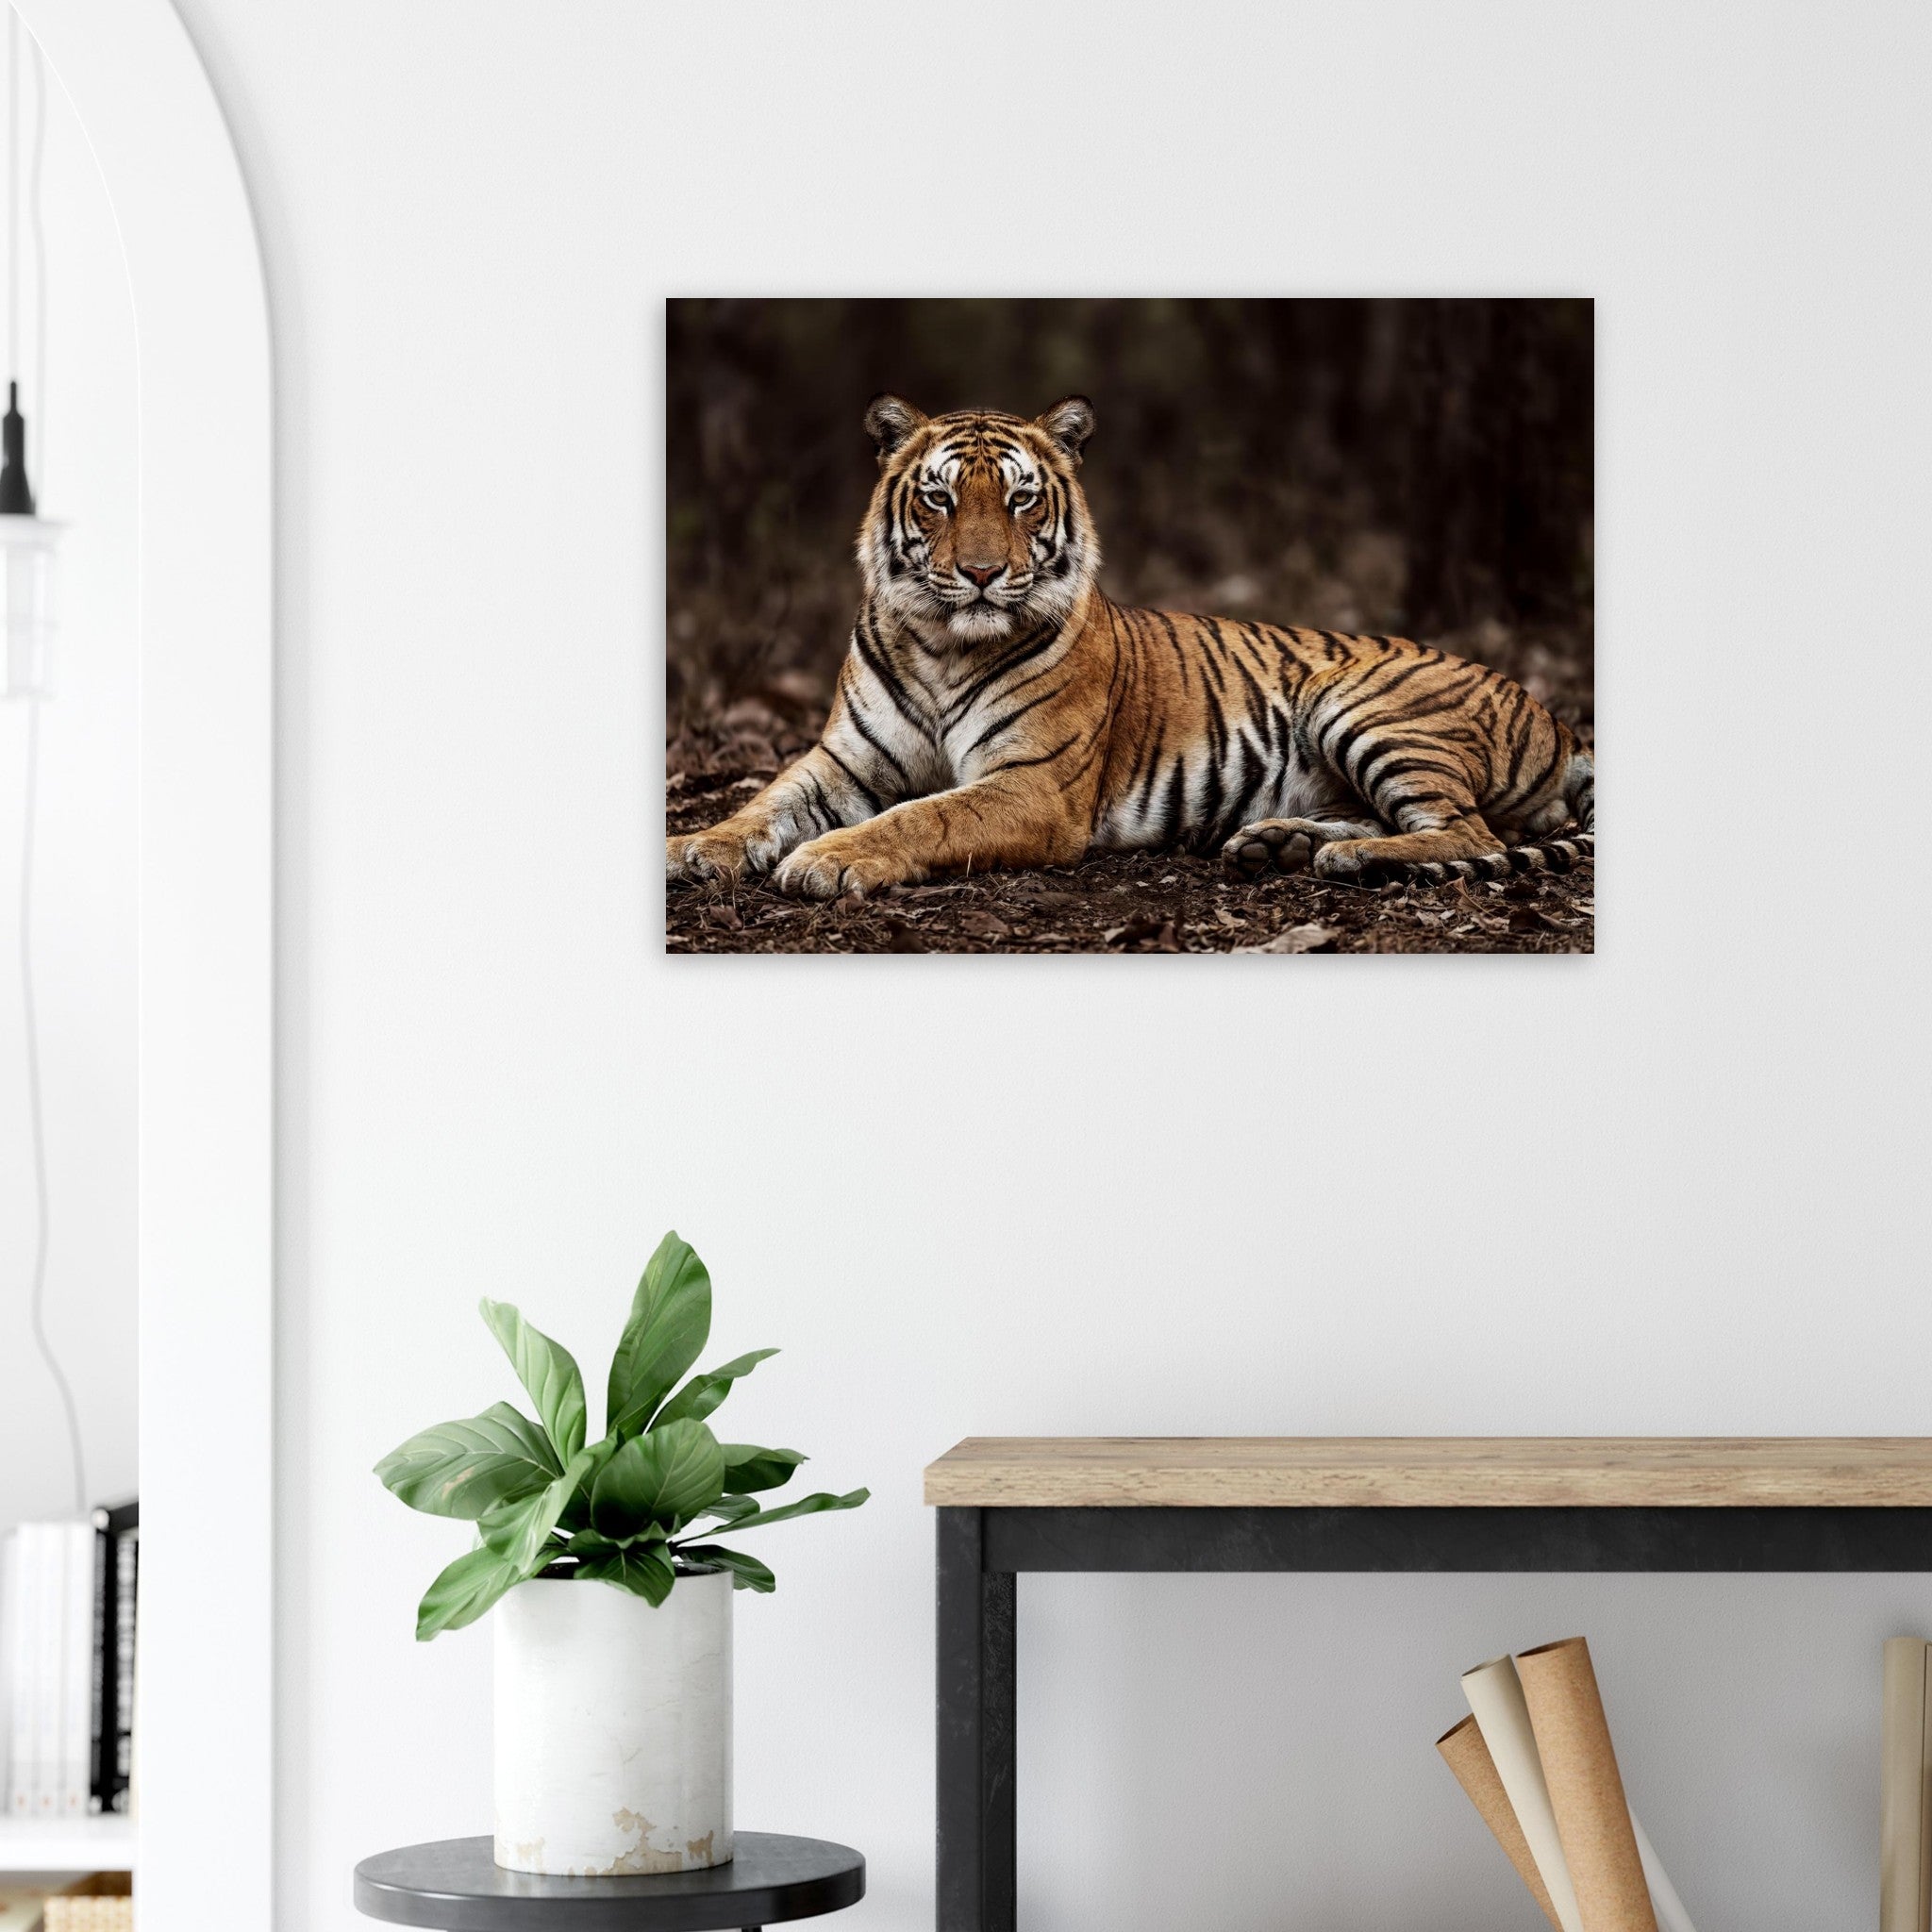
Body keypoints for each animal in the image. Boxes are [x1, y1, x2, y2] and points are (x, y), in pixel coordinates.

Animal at [665, 394, 1593, 901]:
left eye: (1021, 500)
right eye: (938, 498)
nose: (979, 573)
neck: (940, 645)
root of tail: (1556, 716)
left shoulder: (1031, 786)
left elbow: (922, 816)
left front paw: (827, 860)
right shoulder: (844, 760)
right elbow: (764, 803)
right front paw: (691, 848)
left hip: (1360, 699)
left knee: (1470, 835)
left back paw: (1349, 856)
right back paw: (1282, 844)